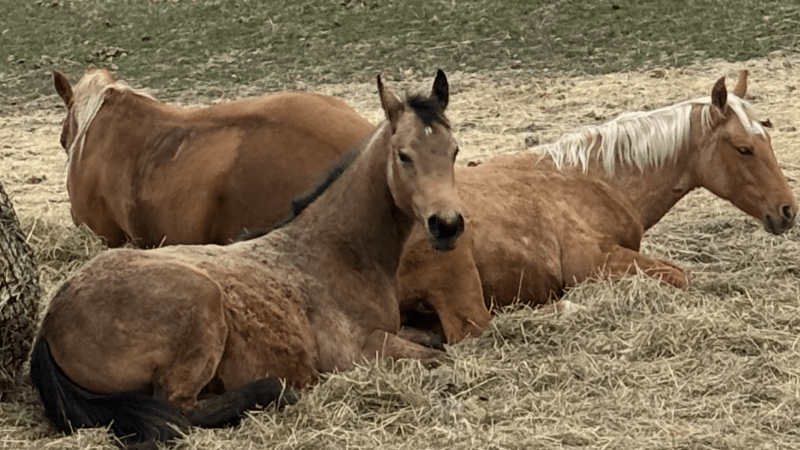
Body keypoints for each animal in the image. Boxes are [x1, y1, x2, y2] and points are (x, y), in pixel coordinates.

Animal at [398, 70, 798, 344]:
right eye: (744, 149)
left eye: (767, 137)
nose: (788, 210)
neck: (590, 178)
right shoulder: (594, 262)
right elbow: (679, 275)